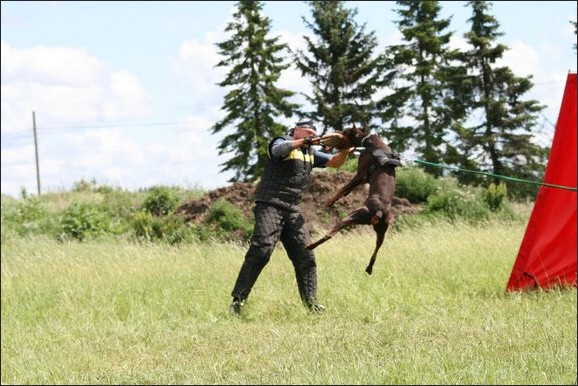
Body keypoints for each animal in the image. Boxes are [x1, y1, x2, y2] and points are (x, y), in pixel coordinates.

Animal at [308, 126, 398, 274]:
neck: (368, 141)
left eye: (345, 131)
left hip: (353, 216)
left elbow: (342, 188)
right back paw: (369, 268)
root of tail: (379, 212)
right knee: (377, 248)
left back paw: (310, 246)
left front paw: (330, 201)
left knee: (330, 234)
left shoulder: (361, 174)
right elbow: (346, 190)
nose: (335, 133)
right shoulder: (364, 178)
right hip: (382, 229)